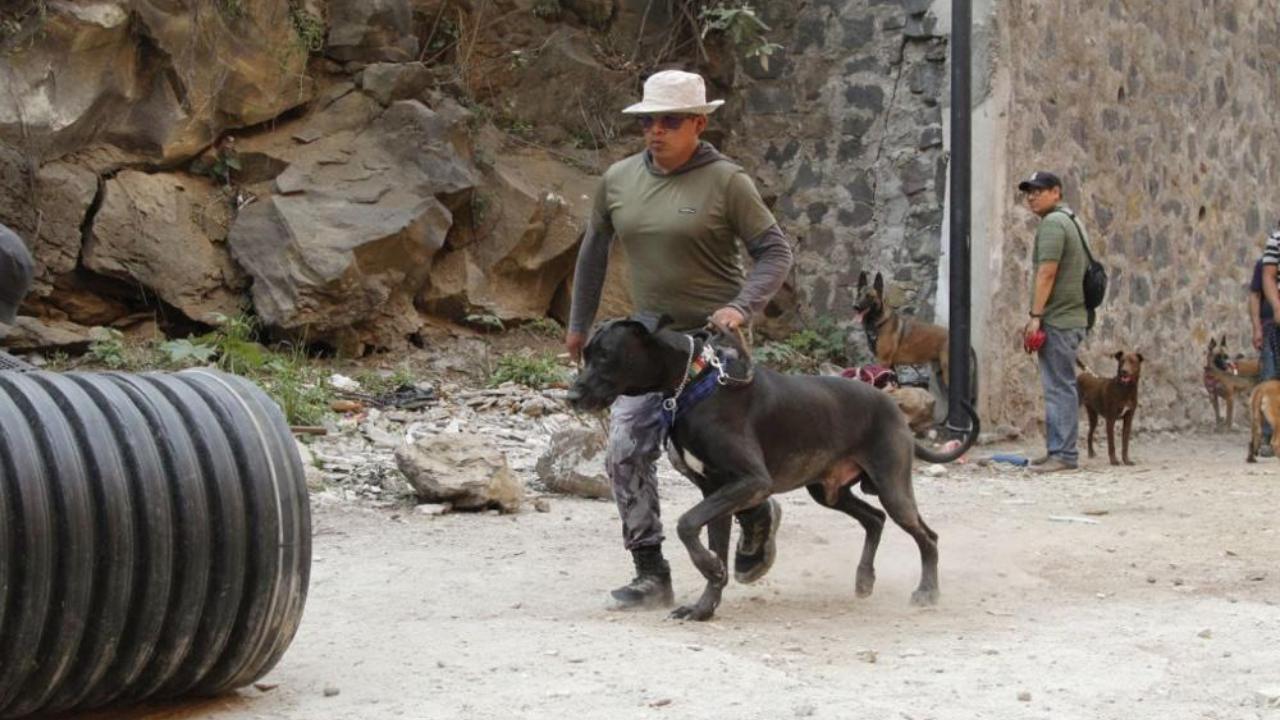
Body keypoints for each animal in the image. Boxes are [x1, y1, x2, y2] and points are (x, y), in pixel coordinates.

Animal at [565, 316, 972, 620]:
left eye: (605, 355)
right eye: (585, 353)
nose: (571, 395)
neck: (693, 384)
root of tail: (892, 406)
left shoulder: (750, 481)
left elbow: (685, 524)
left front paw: (710, 569)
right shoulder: (716, 492)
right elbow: (705, 537)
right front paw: (704, 607)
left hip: (891, 486)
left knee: (926, 536)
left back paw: (927, 591)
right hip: (828, 492)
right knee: (874, 519)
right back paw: (864, 579)